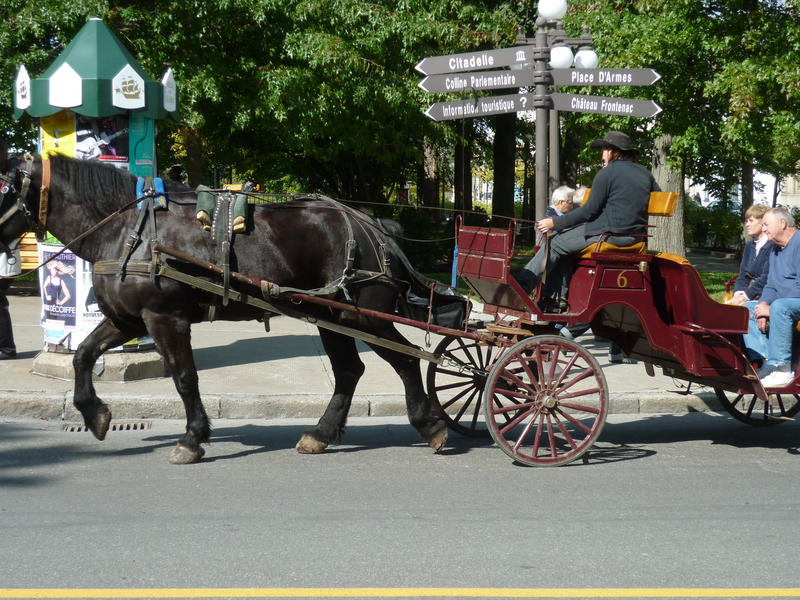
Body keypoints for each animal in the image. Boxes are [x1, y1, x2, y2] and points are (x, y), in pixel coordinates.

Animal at [0, 151, 450, 464]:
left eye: (4, 186)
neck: (128, 230)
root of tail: (373, 226)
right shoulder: (127, 319)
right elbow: (82, 355)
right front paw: (94, 415)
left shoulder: (164, 318)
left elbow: (185, 378)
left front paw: (192, 438)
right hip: (331, 316)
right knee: (349, 372)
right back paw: (322, 433)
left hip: (361, 315)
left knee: (405, 360)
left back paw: (430, 424)